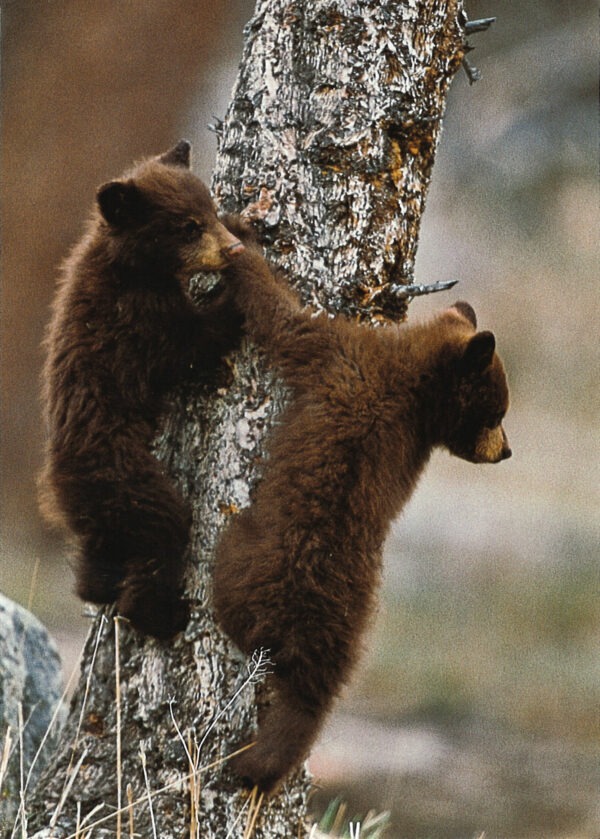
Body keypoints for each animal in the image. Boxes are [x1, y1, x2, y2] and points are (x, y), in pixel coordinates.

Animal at [39, 141, 245, 639]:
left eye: (210, 210)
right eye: (187, 227)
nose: (231, 248)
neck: (129, 265)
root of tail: (60, 486)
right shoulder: (137, 318)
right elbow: (191, 343)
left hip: (103, 518)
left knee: (98, 566)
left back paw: (99, 587)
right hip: (127, 480)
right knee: (162, 531)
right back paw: (162, 614)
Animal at [213, 217, 511, 792]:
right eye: (497, 413)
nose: (507, 451)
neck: (413, 382)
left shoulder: (338, 354)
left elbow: (284, 321)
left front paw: (241, 246)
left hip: (246, 560)